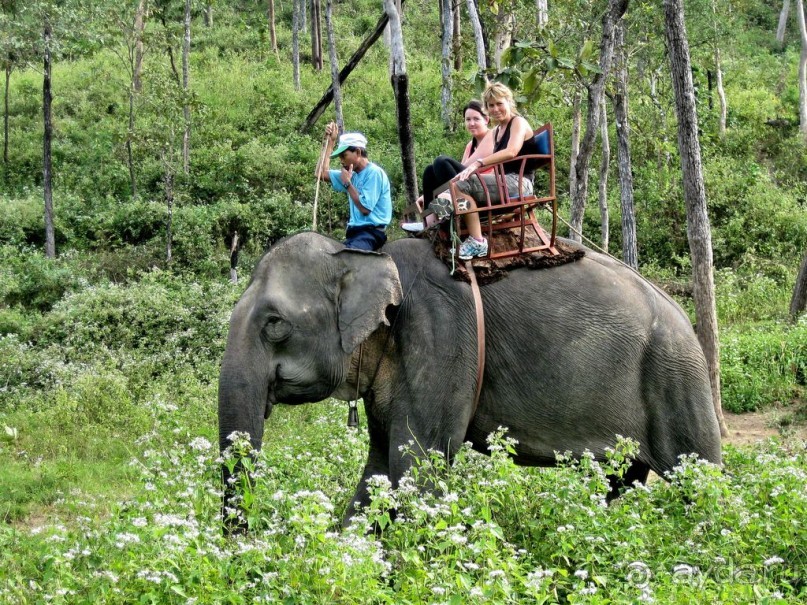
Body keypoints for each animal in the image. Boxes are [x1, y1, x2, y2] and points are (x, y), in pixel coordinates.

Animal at [218, 231, 724, 524]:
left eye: (275, 323)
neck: (369, 257)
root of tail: (684, 318)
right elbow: (380, 467)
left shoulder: (442, 338)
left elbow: (415, 464)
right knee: (619, 479)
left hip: (675, 378)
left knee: (699, 481)